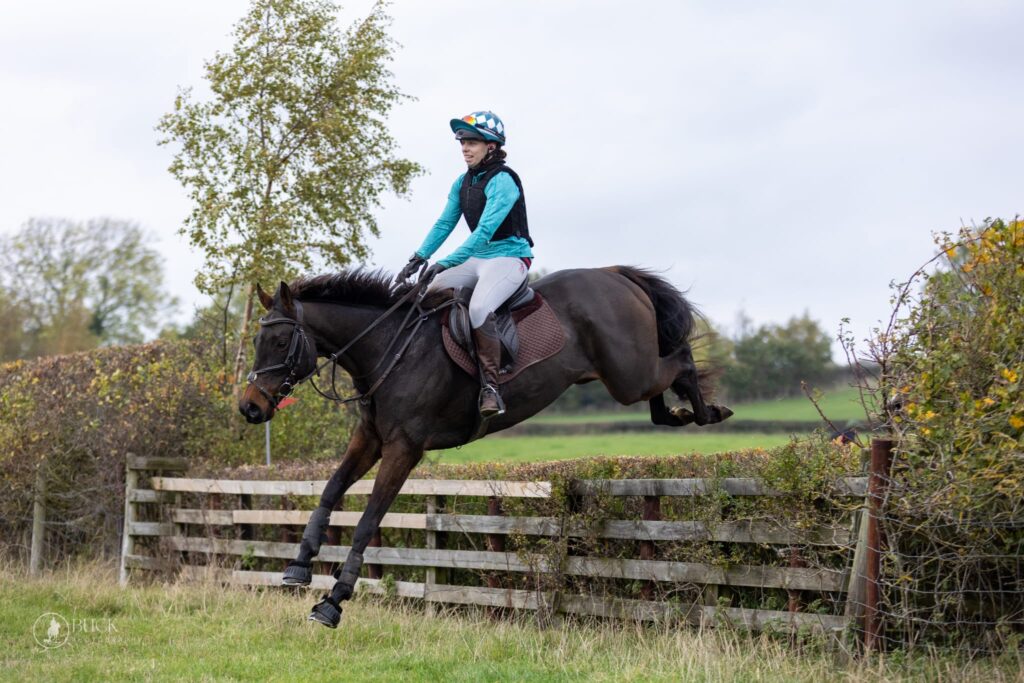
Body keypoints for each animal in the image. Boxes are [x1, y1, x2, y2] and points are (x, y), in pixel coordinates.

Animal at [239, 265, 732, 627]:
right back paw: (681, 413)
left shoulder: (403, 448)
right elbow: (328, 493)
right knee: (662, 388)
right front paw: (299, 565)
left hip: (629, 373)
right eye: (258, 340)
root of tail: (616, 273)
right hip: (629, 374)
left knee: (680, 362)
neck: (387, 349)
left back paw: (709, 411)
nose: (250, 408)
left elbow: (365, 523)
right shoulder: (370, 439)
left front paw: (334, 601)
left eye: (279, 341)